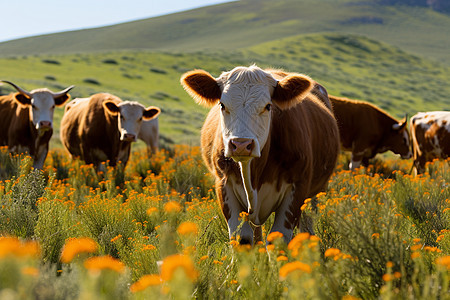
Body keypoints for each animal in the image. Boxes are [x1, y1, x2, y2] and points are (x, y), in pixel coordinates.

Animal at [181, 65, 340, 244]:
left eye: (268, 106)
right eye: (222, 105)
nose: (241, 144)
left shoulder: (297, 188)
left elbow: (279, 236)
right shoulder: (224, 185)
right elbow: (242, 238)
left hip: (315, 192)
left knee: (307, 222)